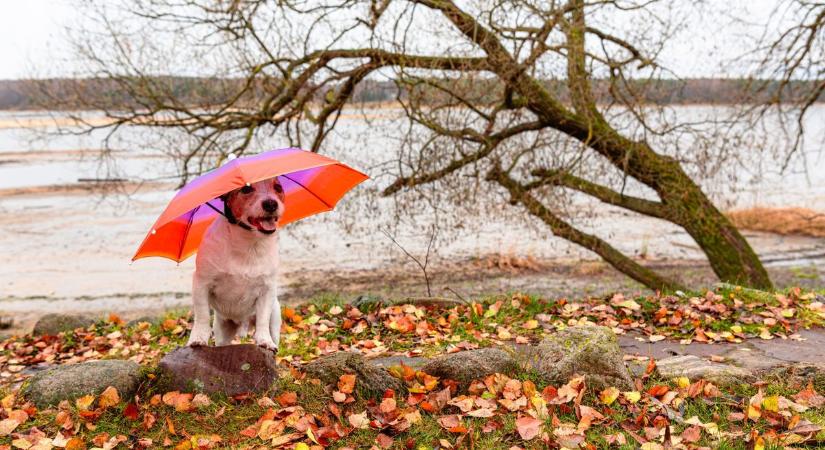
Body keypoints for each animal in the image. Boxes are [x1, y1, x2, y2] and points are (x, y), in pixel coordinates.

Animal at [187, 177, 286, 352]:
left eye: (278, 188)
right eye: (246, 189)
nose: (271, 204)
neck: (247, 243)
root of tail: (243, 323)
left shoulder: (267, 290)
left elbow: (263, 319)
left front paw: (264, 341)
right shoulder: (201, 283)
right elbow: (202, 314)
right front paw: (198, 338)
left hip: (275, 318)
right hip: (222, 329)